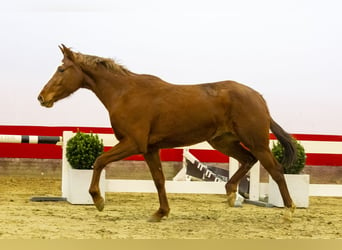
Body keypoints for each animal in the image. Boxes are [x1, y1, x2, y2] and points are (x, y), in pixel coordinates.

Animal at [38, 44, 296, 221]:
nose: (42, 97)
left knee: (275, 170)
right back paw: (231, 194)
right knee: (247, 160)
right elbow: (159, 180)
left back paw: (289, 210)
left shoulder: (134, 143)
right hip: (223, 141)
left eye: (61, 69)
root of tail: (258, 97)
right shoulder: (150, 148)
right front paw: (161, 212)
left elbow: (100, 160)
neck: (125, 93)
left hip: (256, 142)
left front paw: (98, 200)